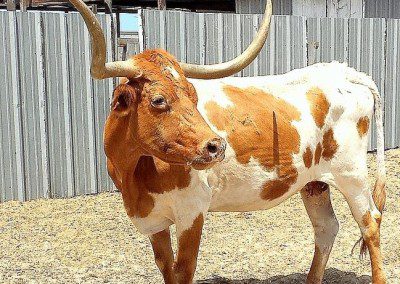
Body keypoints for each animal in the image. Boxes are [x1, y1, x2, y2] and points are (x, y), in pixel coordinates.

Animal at [70, 1, 386, 282]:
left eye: (193, 95)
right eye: (158, 100)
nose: (216, 146)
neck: (133, 175)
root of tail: (346, 72)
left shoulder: (192, 210)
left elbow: (183, 271)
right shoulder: (154, 220)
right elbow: (166, 268)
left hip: (351, 174)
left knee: (370, 222)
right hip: (314, 182)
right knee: (326, 228)